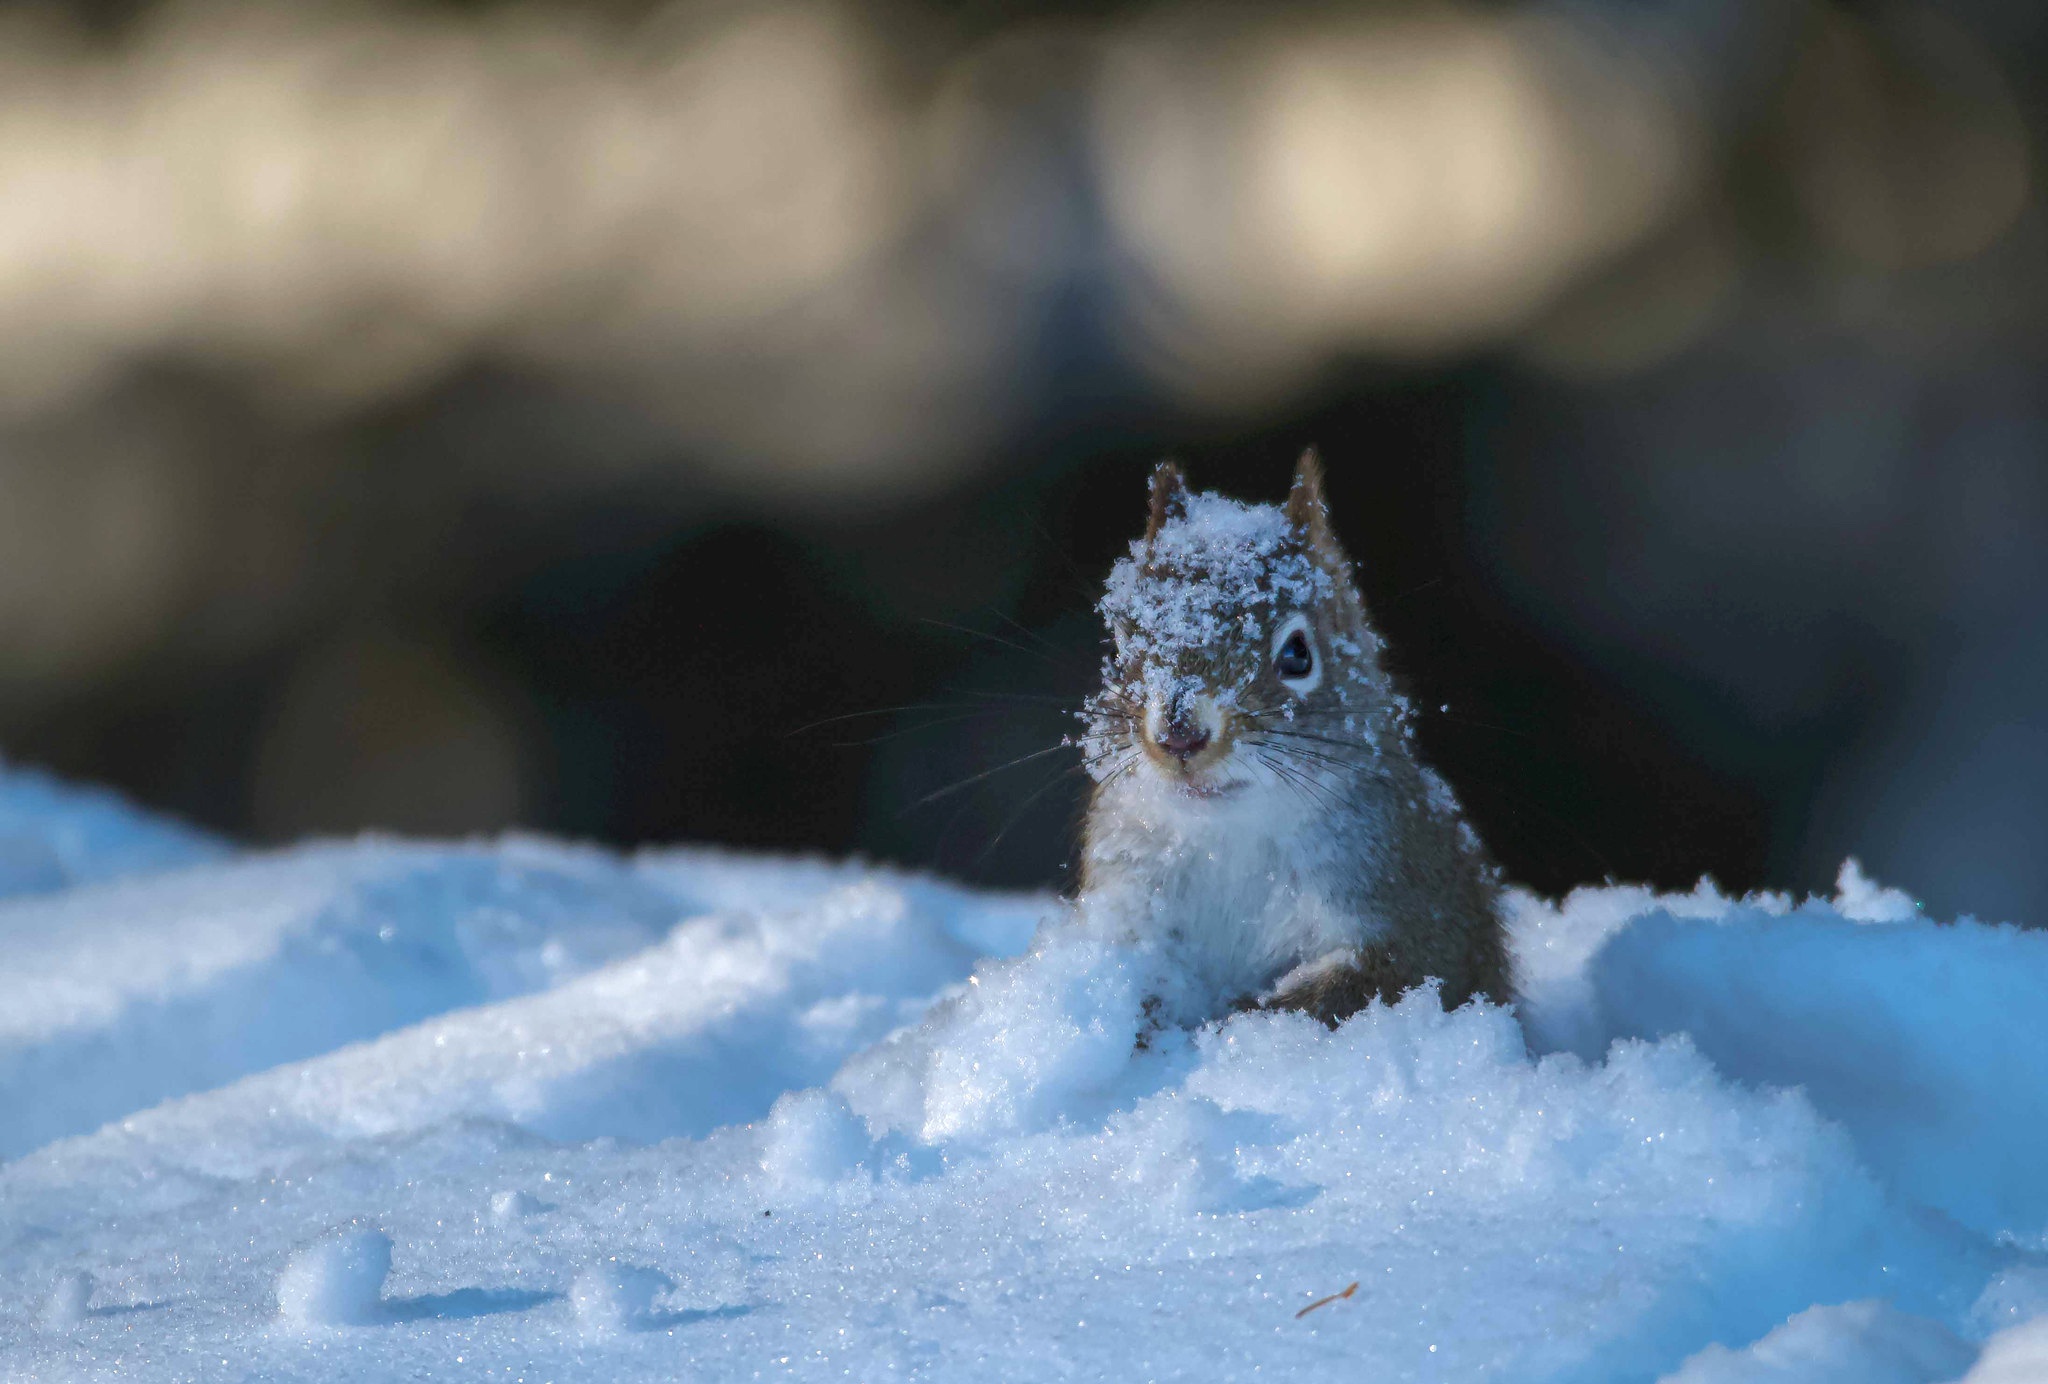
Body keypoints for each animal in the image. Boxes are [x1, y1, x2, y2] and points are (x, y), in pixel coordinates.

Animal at [1081, 454, 1515, 1027]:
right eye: (1119, 647)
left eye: (1297, 655)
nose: (1180, 737)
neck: (1228, 838)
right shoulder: (1127, 890)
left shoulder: (1416, 909)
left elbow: (1376, 984)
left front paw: (1235, 1021)